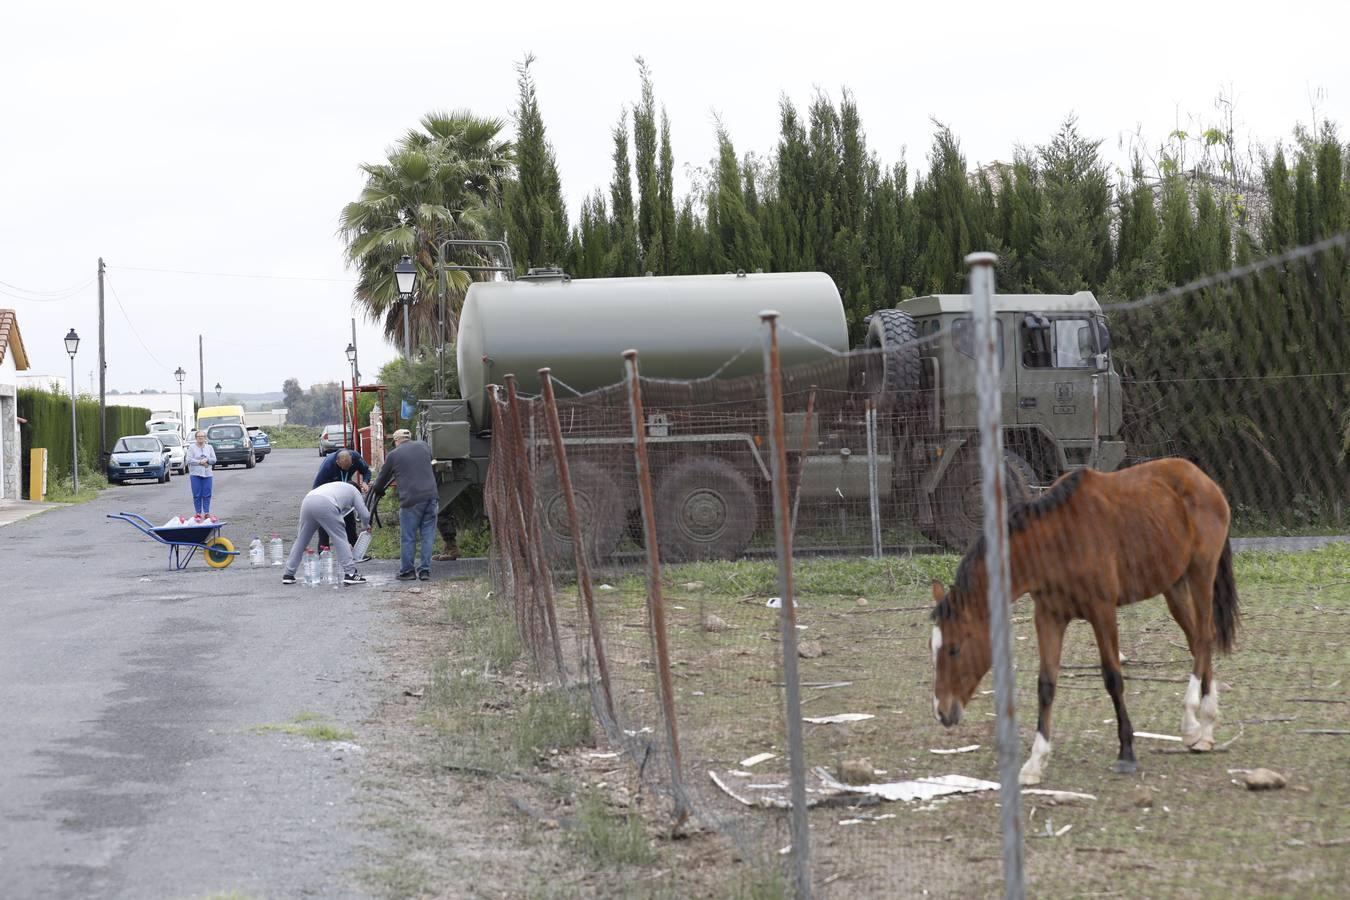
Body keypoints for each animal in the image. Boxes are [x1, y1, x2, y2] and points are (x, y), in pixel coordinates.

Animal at [934, 461, 1236, 782]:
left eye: (954, 648)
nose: (942, 711)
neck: (1057, 540)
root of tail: (1204, 481)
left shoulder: (1102, 612)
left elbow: (1113, 679)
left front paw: (1126, 752)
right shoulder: (1049, 616)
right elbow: (1046, 685)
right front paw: (1035, 762)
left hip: (1201, 573)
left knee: (1204, 637)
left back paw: (1192, 723)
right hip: (1174, 586)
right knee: (1197, 641)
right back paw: (1206, 730)